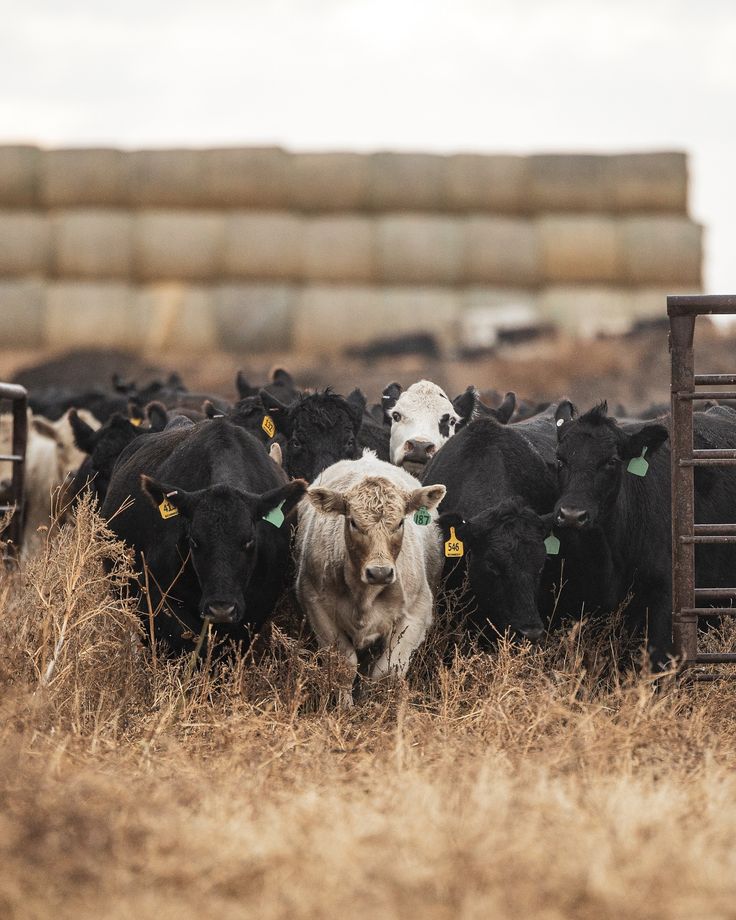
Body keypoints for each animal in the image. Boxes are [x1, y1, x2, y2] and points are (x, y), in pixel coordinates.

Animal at [296, 453, 446, 701]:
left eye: (400, 522)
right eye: (353, 522)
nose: (379, 572)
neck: (364, 594)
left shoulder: (416, 614)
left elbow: (386, 672)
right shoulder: (317, 608)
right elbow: (344, 667)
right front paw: (345, 707)